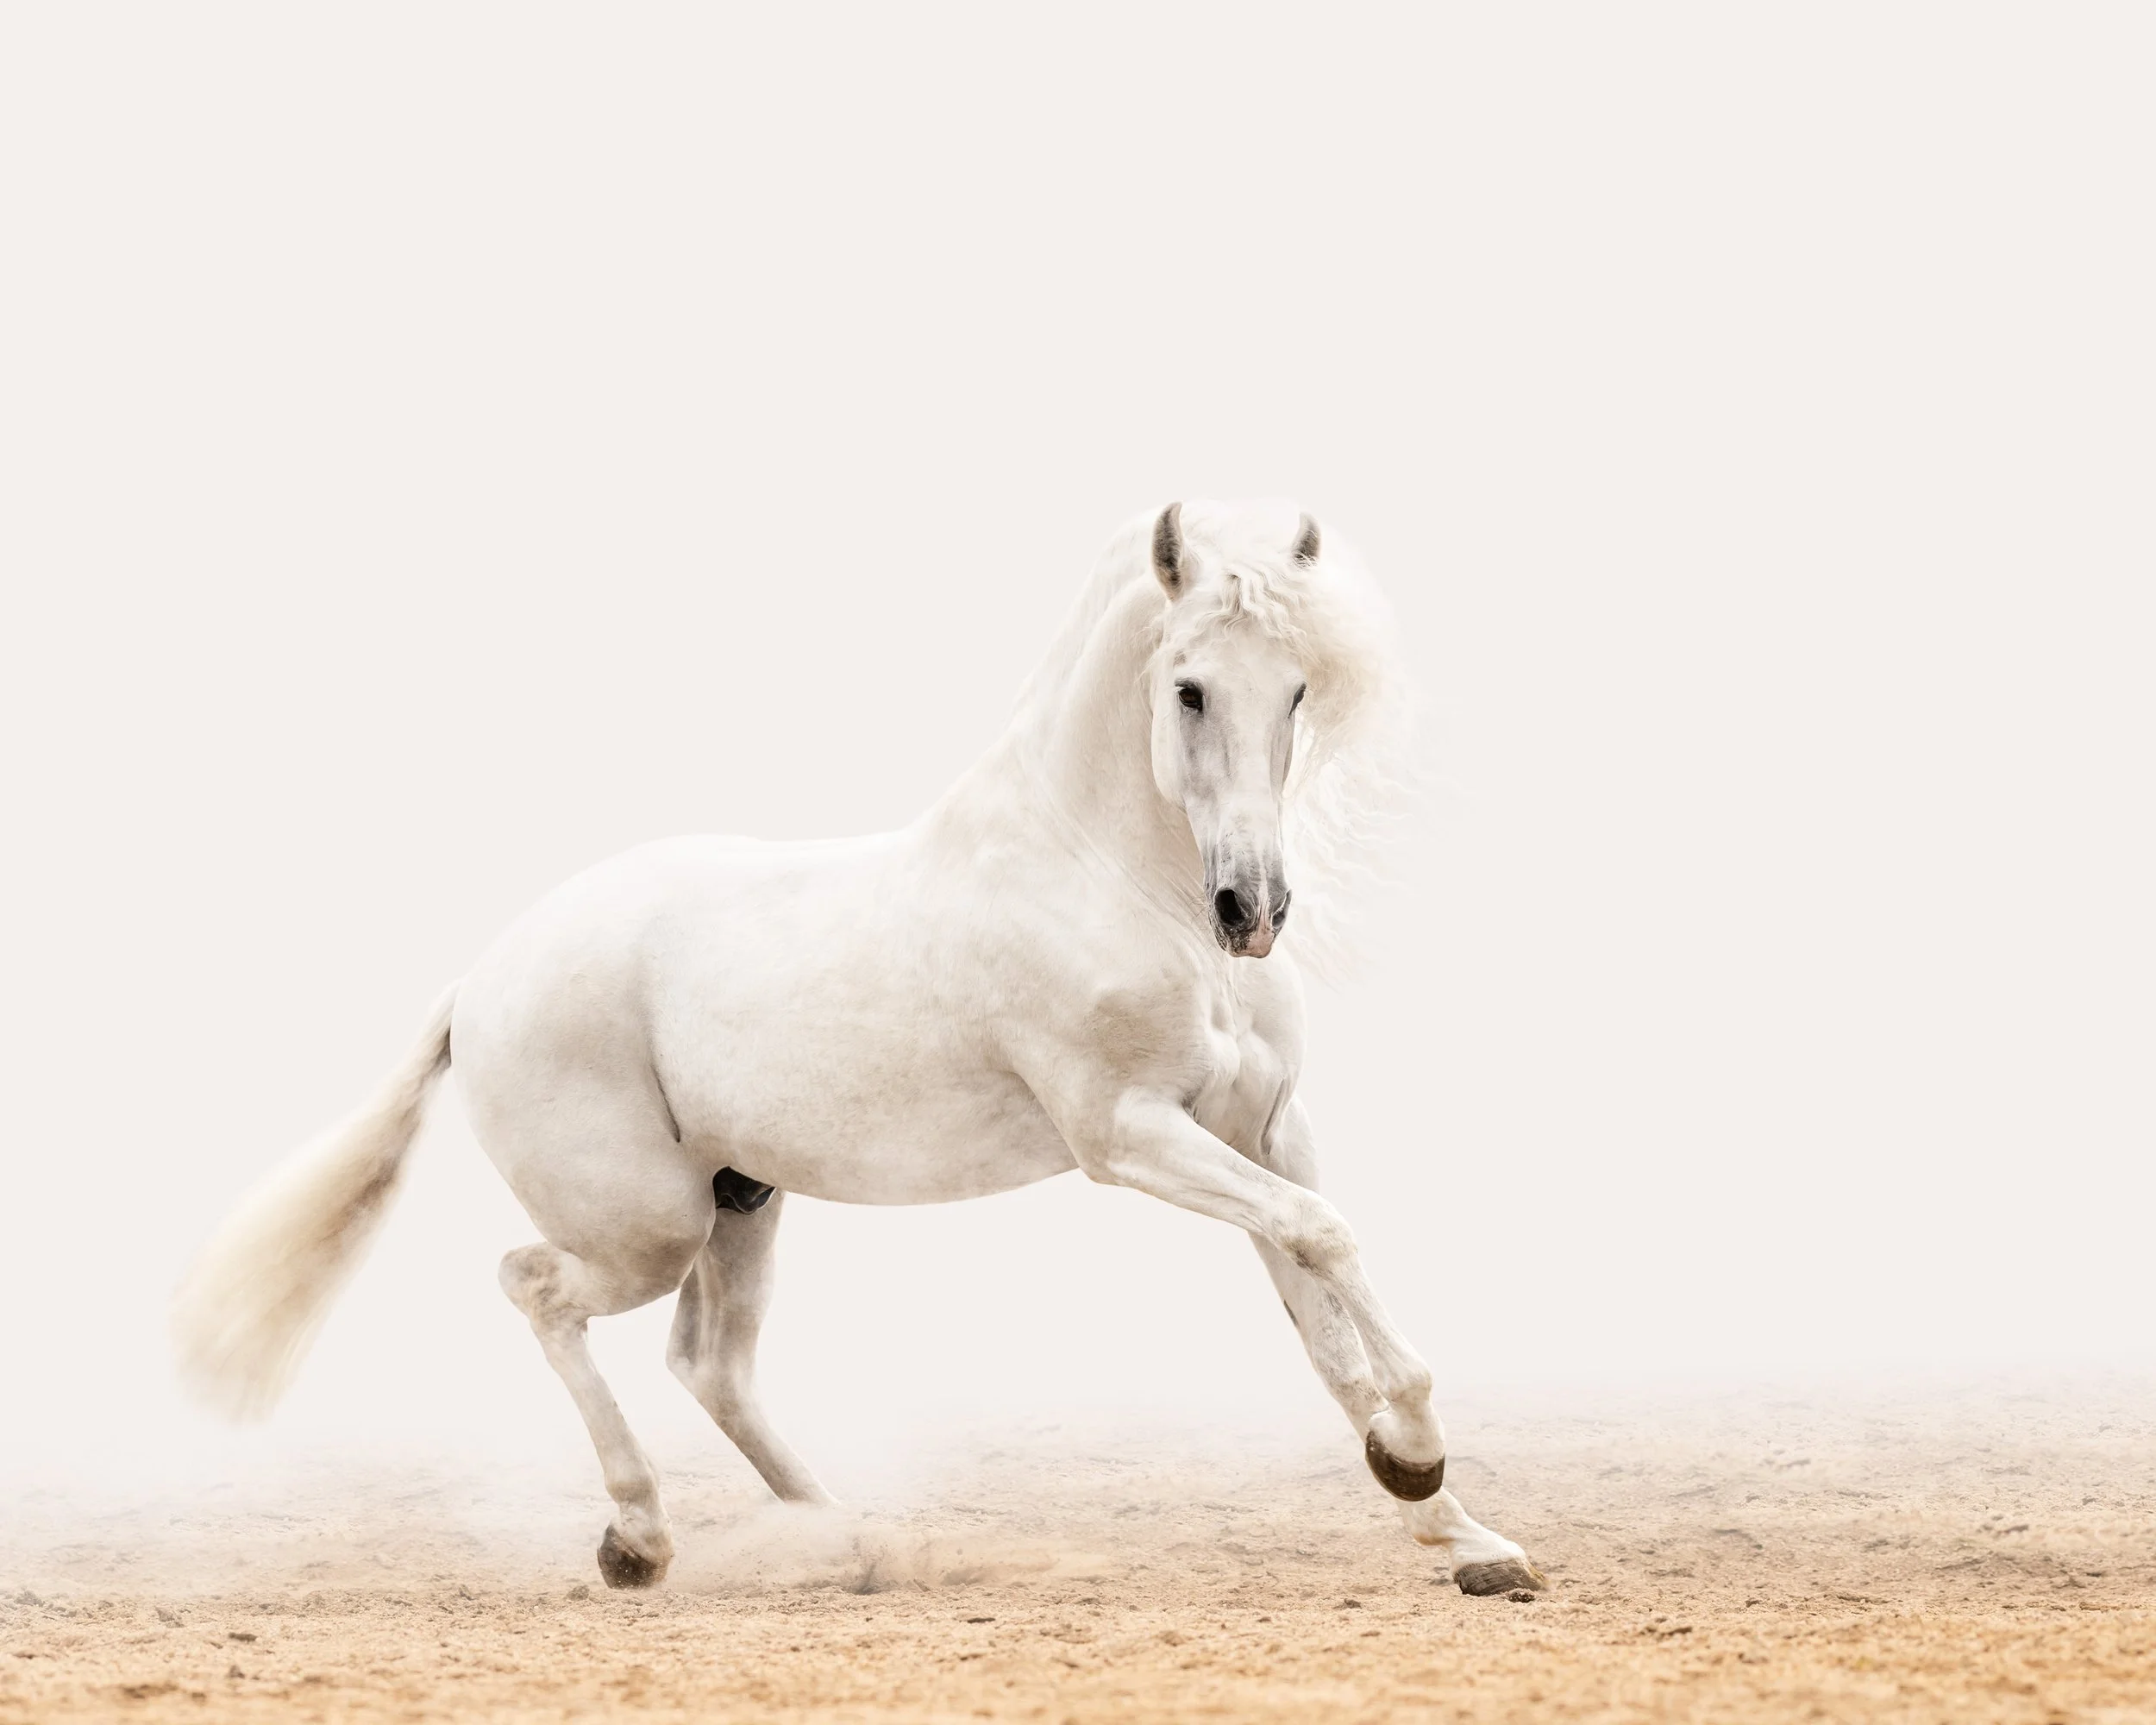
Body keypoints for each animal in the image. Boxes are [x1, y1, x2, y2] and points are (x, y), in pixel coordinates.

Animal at [172, 498, 1546, 1598]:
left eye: (1299, 688)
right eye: (1190, 688)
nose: (1252, 913)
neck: (1114, 881)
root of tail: (479, 980)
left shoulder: (1260, 1129)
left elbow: (1320, 1309)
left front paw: (1463, 1535)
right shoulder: (1131, 1135)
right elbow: (1329, 1240)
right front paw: (1417, 1455)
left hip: (741, 1199)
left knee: (710, 1365)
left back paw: (851, 1540)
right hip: (645, 1225)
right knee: (538, 1290)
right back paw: (640, 1538)